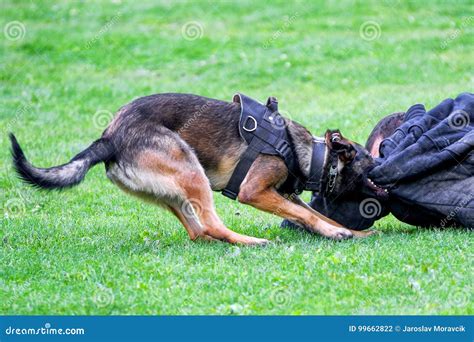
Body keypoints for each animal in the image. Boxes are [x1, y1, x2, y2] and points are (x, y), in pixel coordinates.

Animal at [9, 93, 376, 246]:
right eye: (370, 166)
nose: (384, 182)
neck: (307, 154)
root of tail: (109, 138)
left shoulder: (282, 195)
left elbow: (315, 214)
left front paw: (351, 232)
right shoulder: (254, 192)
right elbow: (308, 215)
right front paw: (336, 233)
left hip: (174, 188)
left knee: (199, 231)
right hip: (190, 169)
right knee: (211, 224)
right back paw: (251, 241)